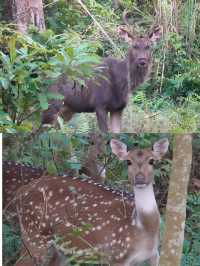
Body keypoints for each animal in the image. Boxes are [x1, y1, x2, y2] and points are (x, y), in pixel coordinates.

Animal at [14, 138, 169, 264]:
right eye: (128, 161)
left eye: (152, 161)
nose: (140, 178)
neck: (143, 228)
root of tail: (21, 190)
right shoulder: (116, 255)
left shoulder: (155, 254)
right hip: (34, 235)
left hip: (61, 248)